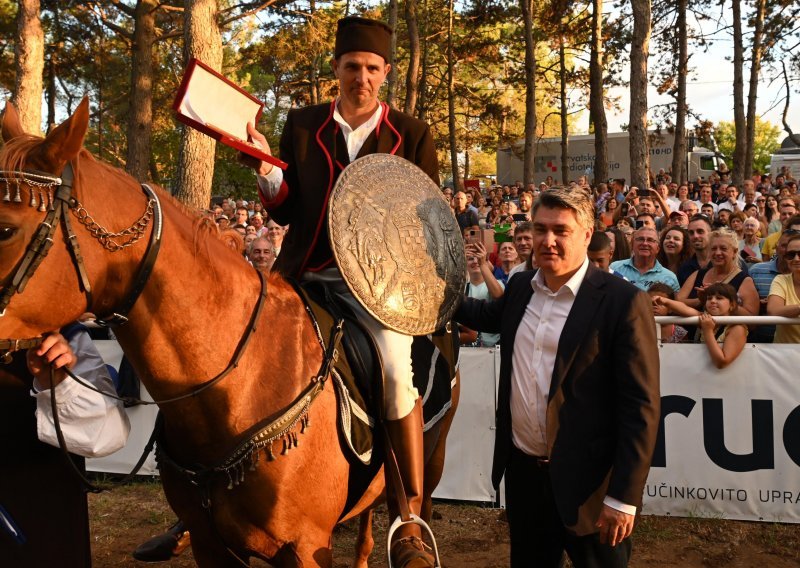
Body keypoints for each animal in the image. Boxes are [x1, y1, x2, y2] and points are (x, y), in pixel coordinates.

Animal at [0, 100, 460, 564]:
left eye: (5, 228)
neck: (238, 386)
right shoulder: (211, 544)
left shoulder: (305, 545)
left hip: (434, 458)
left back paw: (411, 542)